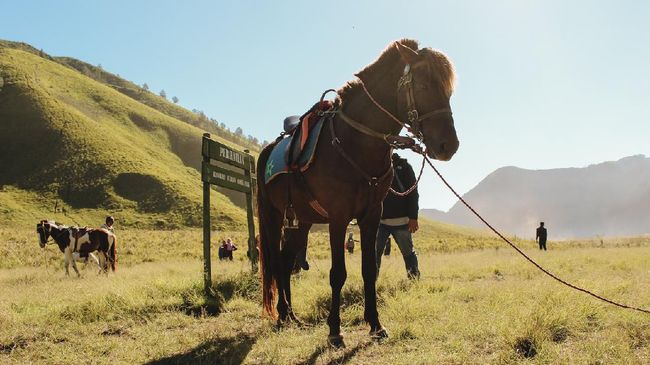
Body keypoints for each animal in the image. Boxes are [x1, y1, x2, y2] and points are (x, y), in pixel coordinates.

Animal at [256, 38, 458, 346]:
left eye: (448, 90)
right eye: (424, 86)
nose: (449, 145)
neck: (355, 142)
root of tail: (268, 150)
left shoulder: (371, 216)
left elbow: (369, 270)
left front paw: (375, 324)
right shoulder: (339, 218)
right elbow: (338, 273)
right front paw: (334, 331)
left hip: (301, 221)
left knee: (286, 260)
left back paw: (290, 315)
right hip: (273, 216)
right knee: (278, 261)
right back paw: (281, 315)